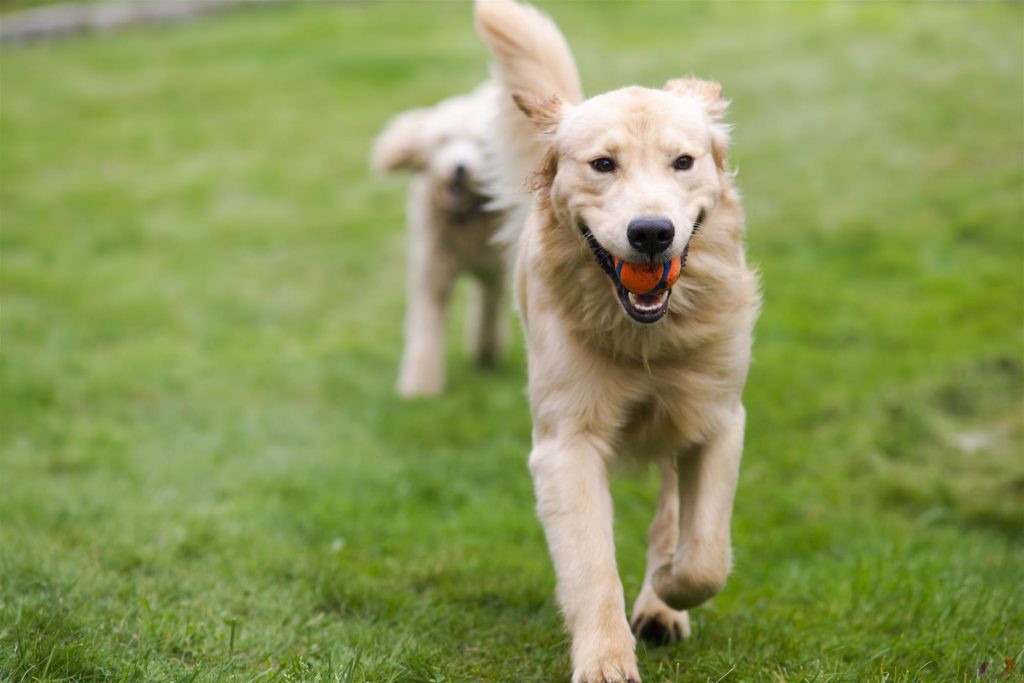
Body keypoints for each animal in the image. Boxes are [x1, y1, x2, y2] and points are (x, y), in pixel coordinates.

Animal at [372, 83, 507, 397]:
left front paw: (486, 351)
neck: (465, 218)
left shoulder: (495, 267)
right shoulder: (431, 271)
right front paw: (420, 388)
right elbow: (426, 325)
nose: (460, 168)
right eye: (443, 141)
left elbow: (490, 307)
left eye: (480, 145)